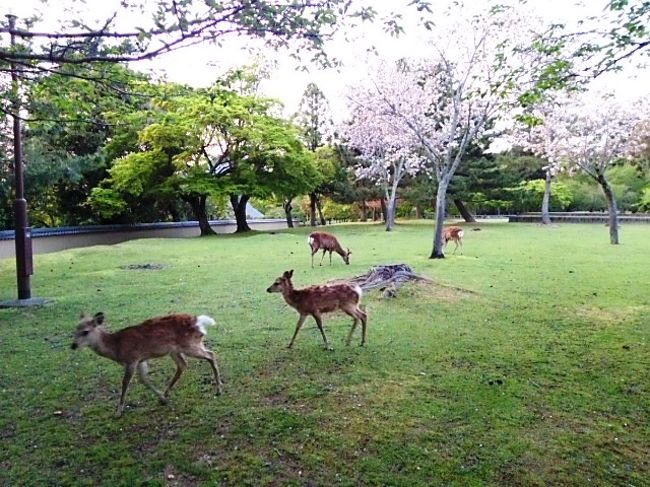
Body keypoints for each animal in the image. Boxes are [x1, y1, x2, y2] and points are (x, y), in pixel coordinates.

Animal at [71, 312, 223, 417]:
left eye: (85, 332)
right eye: (75, 330)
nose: (73, 346)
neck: (116, 348)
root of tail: (199, 322)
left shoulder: (132, 359)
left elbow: (125, 383)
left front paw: (118, 412)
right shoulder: (141, 360)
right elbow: (144, 380)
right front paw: (162, 398)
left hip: (189, 345)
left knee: (211, 355)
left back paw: (218, 389)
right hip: (176, 350)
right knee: (183, 364)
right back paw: (166, 393)